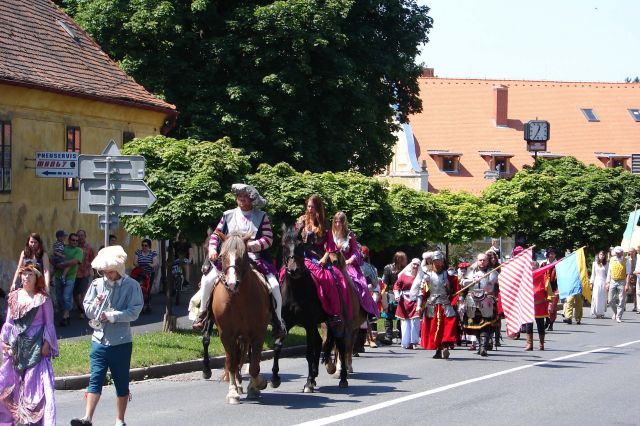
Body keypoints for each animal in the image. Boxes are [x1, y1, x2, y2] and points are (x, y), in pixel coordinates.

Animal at [210, 231, 270, 404]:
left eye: (243, 255)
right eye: (222, 256)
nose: (231, 284)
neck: (238, 299)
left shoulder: (258, 334)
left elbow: (254, 365)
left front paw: (256, 386)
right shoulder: (226, 335)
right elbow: (231, 363)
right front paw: (232, 393)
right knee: (235, 360)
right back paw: (237, 384)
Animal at [272, 225, 330, 392]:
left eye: (300, 246)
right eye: (284, 245)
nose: (294, 270)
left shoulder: (309, 323)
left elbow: (309, 352)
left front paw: (308, 382)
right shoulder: (286, 322)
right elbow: (277, 346)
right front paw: (275, 378)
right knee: (319, 341)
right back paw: (315, 373)